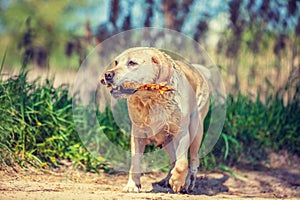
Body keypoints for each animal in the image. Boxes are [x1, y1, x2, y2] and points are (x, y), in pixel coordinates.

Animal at [99, 47, 210, 193]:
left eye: (132, 63)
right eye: (116, 62)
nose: (107, 75)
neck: (150, 99)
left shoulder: (182, 133)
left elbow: (182, 163)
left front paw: (177, 181)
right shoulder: (138, 134)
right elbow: (135, 162)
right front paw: (132, 185)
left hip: (196, 130)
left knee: (193, 160)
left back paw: (187, 183)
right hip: (166, 140)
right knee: (173, 159)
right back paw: (167, 179)